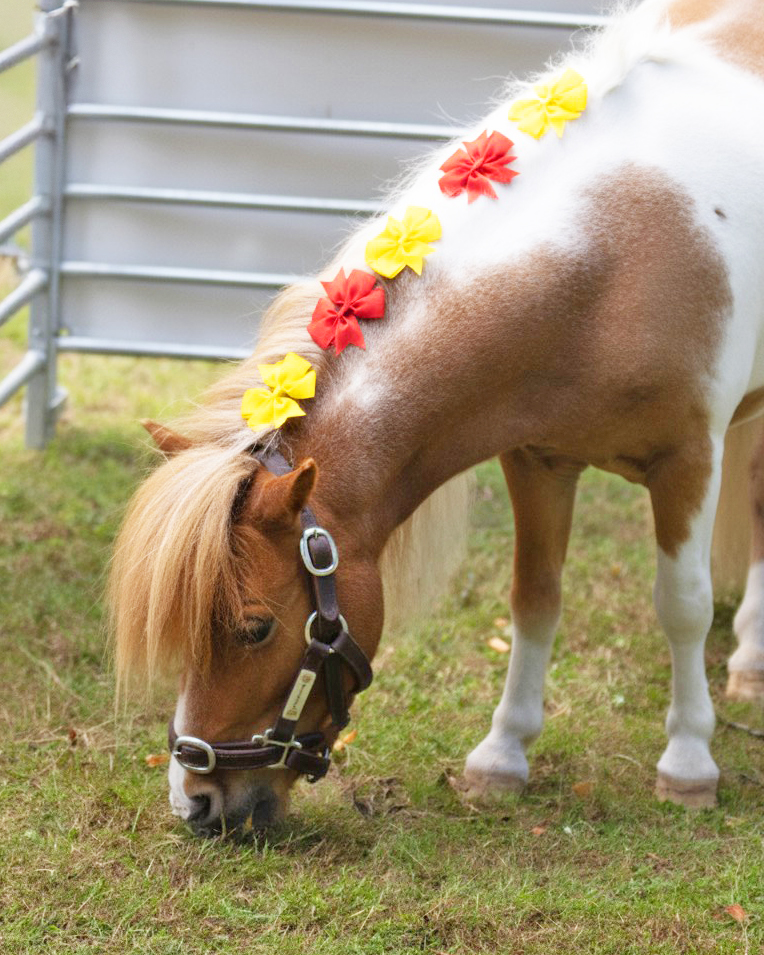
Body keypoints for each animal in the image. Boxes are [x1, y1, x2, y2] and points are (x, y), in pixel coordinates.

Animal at [109, 0, 764, 834]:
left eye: (255, 627)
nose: (194, 802)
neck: (615, 261)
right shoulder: (538, 459)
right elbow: (533, 600)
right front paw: (502, 757)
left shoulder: (688, 462)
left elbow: (680, 607)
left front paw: (688, 764)